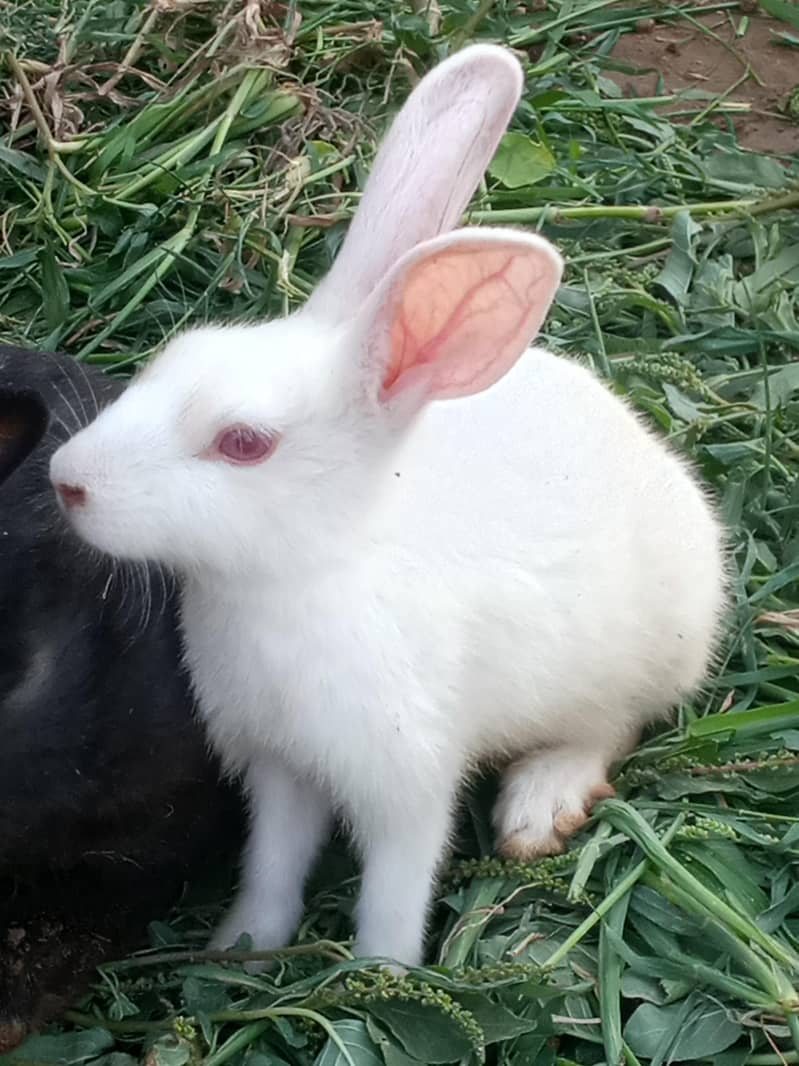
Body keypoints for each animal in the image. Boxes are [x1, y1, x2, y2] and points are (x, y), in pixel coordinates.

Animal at [49, 43, 725, 970]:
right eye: (173, 357)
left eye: (244, 443)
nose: (65, 478)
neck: (305, 572)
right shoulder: (280, 769)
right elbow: (274, 861)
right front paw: (243, 945)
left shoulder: (405, 781)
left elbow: (395, 885)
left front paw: (379, 970)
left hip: (636, 659)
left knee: (608, 728)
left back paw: (536, 810)